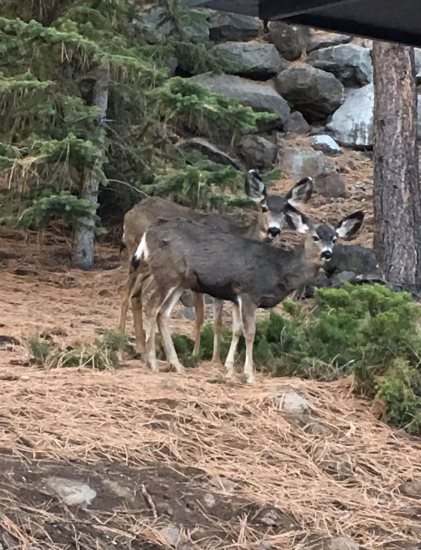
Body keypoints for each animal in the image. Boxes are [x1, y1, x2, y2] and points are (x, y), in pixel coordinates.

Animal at [118, 172, 312, 362]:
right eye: (264, 208)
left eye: (285, 212)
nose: (274, 230)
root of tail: (129, 214)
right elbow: (201, 316)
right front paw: (197, 354)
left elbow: (217, 322)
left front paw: (216, 359)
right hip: (139, 258)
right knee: (127, 296)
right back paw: (123, 348)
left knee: (137, 296)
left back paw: (142, 349)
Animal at [132, 206, 364, 384]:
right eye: (315, 237)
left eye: (334, 239)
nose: (327, 254)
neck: (280, 269)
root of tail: (148, 233)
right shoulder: (250, 293)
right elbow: (250, 332)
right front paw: (249, 374)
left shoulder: (236, 296)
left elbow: (236, 330)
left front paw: (229, 370)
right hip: (166, 273)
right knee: (151, 306)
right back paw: (153, 362)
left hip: (181, 281)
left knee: (163, 312)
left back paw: (176, 364)